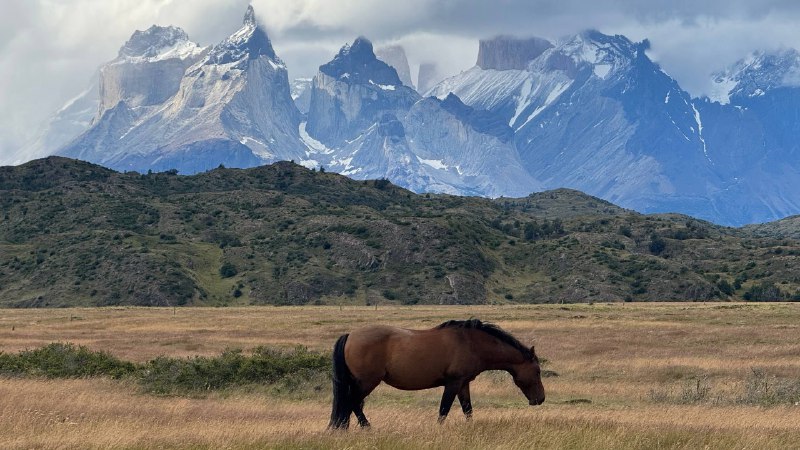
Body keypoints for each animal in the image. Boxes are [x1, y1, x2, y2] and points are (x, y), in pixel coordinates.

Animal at [328, 318, 545, 429]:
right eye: (537, 371)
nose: (541, 399)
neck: (471, 342)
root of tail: (350, 335)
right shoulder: (453, 383)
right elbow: (444, 410)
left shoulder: (463, 383)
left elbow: (468, 409)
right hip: (366, 382)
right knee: (353, 403)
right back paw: (365, 427)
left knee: (352, 404)